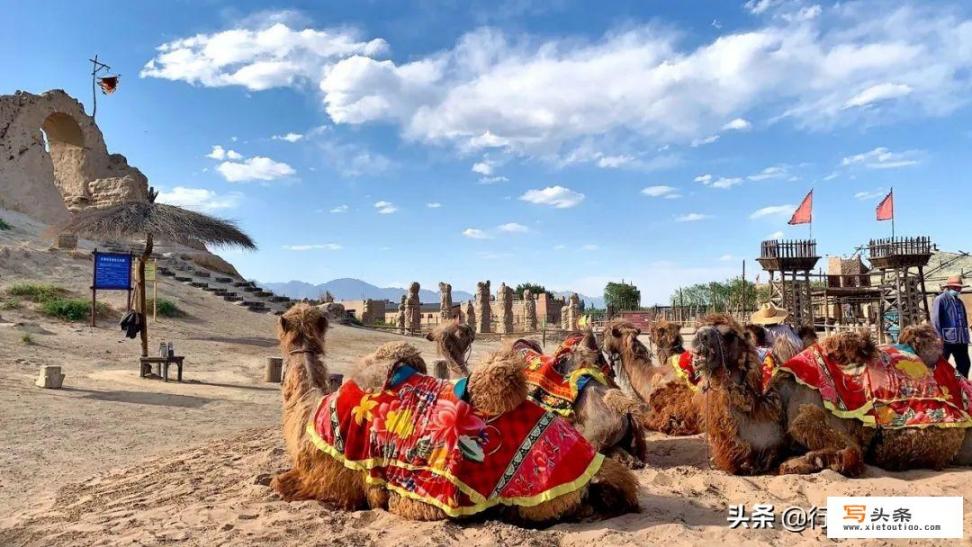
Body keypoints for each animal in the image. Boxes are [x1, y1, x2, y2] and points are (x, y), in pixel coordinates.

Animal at [696, 316, 972, 476]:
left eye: (730, 334)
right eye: (701, 329)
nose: (700, 337)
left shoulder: (809, 418)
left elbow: (849, 454)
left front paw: (801, 463)